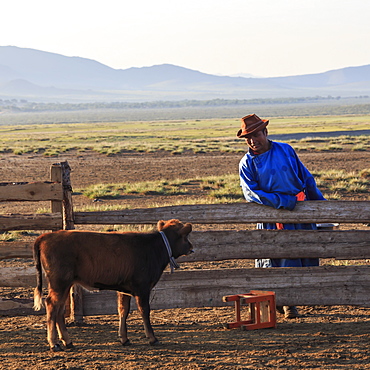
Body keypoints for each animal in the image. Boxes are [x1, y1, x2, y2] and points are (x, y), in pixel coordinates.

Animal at [34, 218, 194, 352]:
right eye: (185, 237)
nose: (191, 248)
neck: (153, 248)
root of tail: (45, 237)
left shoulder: (124, 289)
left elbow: (123, 310)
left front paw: (124, 339)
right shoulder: (142, 289)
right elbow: (144, 311)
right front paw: (152, 338)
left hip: (65, 285)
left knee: (59, 309)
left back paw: (67, 341)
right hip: (59, 283)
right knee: (51, 305)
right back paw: (54, 343)